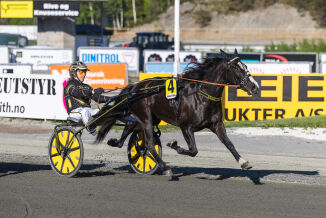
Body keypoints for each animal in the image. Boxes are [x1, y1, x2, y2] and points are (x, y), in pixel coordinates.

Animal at [95, 49, 258, 175]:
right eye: (237, 68)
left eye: (245, 66)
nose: (255, 86)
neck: (201, 95)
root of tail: (135, 87)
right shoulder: (186, 126)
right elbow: (193, 150)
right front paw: (174, 145)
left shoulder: (216, 124)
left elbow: (229, 143)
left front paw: (244, 162)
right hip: (146, 118)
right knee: (149, 143)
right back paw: (165, 167)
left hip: (148, 118)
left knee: (129, 129)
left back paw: (115, 142)